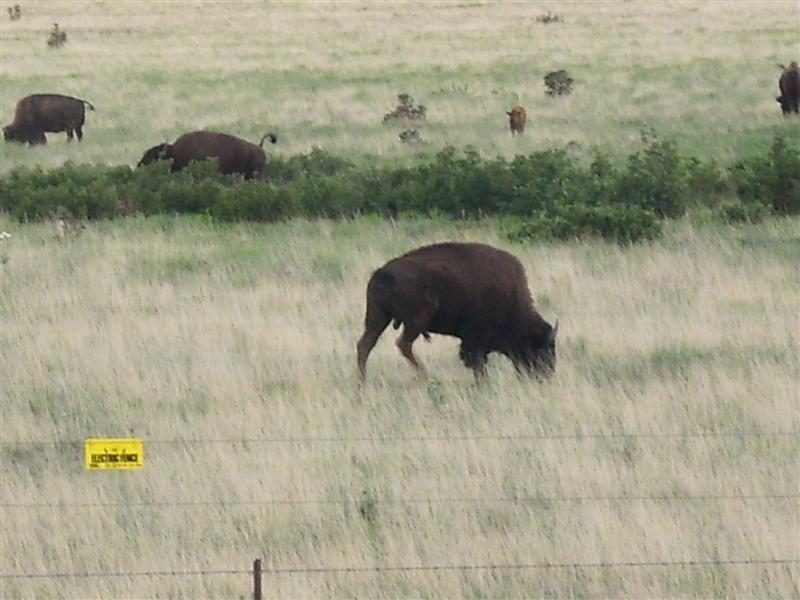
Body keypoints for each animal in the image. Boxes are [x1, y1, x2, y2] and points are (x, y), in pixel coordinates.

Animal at [357, 242, 558, 382]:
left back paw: (362, 383)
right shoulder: (475, 340)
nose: (547, 374)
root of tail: (381, 272)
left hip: (378, 317)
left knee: (365, 345)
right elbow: (477, 363)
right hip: (415, 321)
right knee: (403, 344)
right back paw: (425, 376)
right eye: (541, 348)